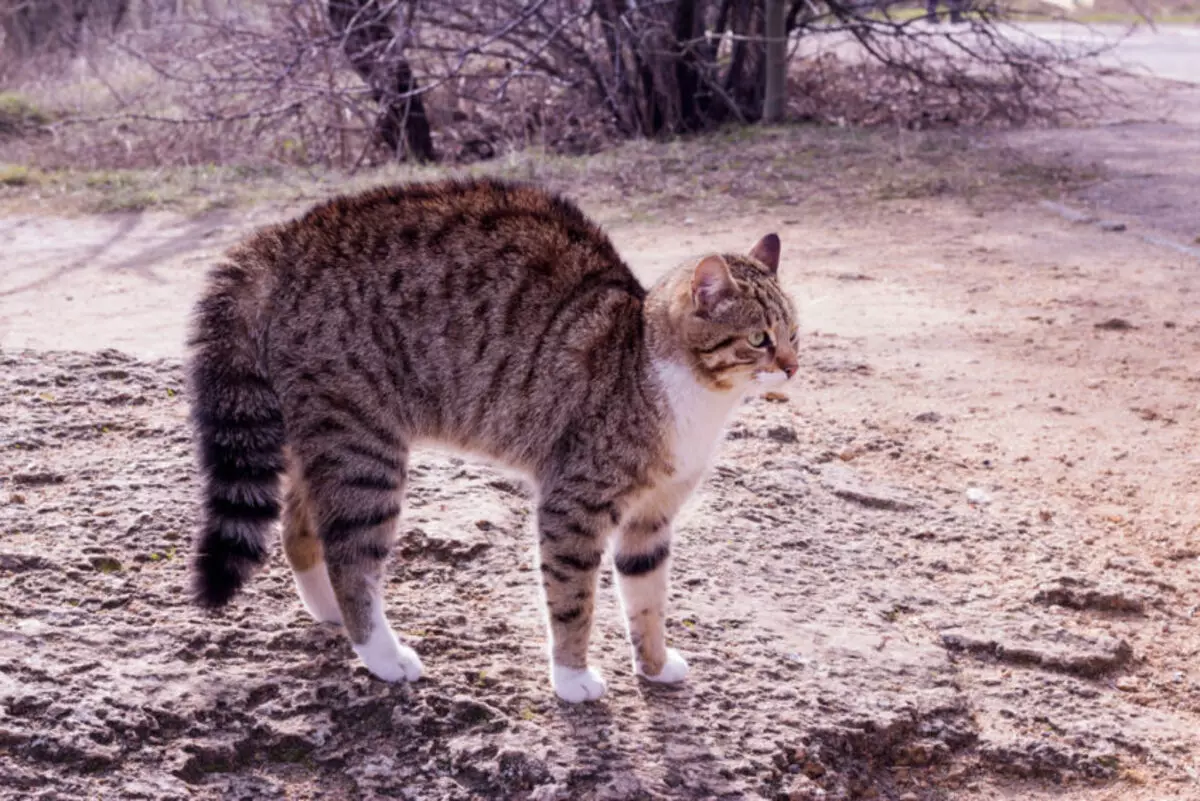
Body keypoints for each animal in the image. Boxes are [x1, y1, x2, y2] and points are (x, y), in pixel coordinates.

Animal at [189, 179, 796, 700]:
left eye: (793, 333)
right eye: (758, 340)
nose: (791, 367)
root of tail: (287, 236)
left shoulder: (652, 516)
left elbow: (647, 598)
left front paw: (653, 664)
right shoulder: (574, 505)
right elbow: (573, 600)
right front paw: (571, 677)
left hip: (321, 432)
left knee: (299, 529)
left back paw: (333, 612)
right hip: (363, 447)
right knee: (351, 557)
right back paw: (381, 654)